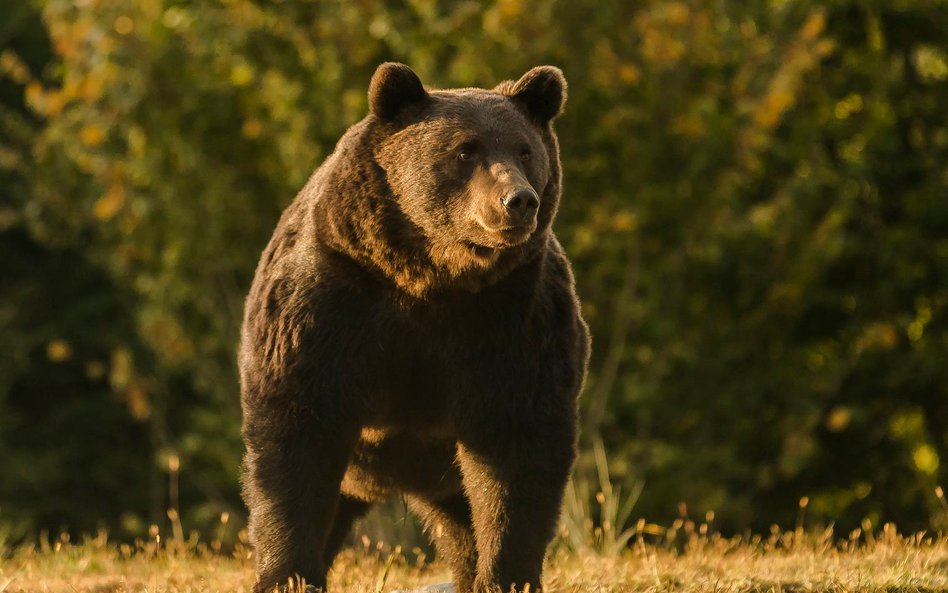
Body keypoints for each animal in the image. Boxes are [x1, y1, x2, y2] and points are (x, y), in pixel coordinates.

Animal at [239, 61, 584, 592]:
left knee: (461, 522)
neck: (431, 276)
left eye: (525, 150)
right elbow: (295, 435)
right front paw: (287, 575)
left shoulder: (514, 318)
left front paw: (506, 575)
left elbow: (516, 448)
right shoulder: (328, 302)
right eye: (465, 149)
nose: (518, 201)